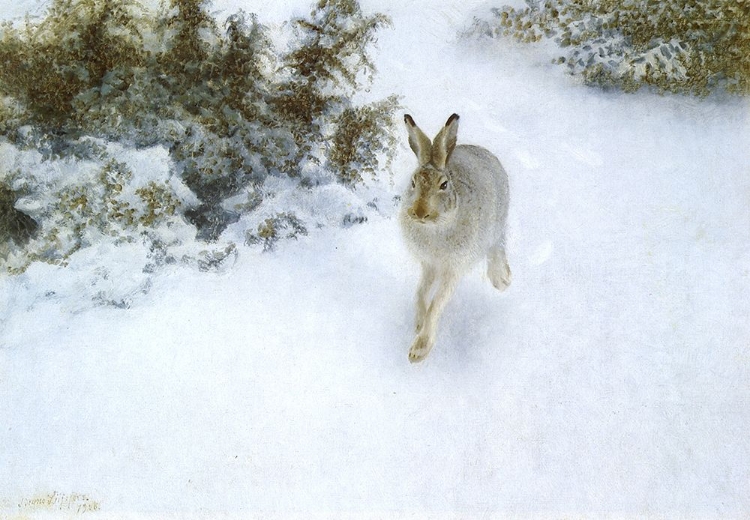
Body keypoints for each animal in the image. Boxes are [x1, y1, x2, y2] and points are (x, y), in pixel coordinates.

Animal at [399, 113, 510, 363]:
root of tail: (487, 153)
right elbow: (420, 293)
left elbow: (437, 304)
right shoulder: (429, 264)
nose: (419, 212)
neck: (436, 227)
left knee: (497, 246)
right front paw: (418, 324)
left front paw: (419, 351)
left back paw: (502, 280)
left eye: (444, 185)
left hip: (497, 224)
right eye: (412, 182)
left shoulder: (453, 269)